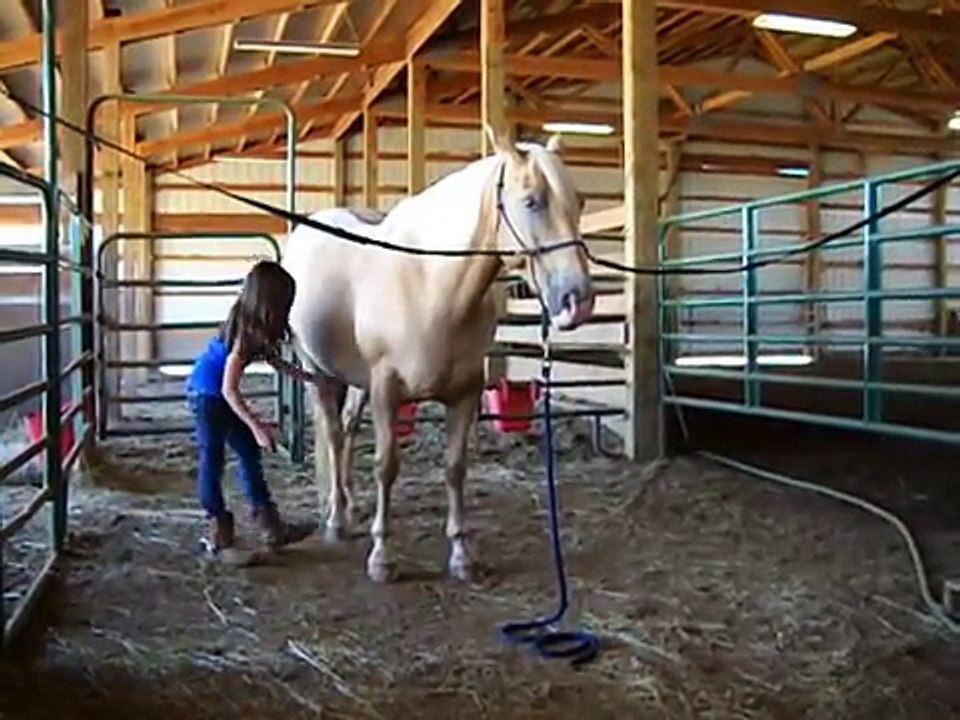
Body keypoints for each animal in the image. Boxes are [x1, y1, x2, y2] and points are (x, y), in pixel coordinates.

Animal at [282, 129, 595, 583]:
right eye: (531, 201)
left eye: (580, 202)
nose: (578, 302)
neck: (429, 284)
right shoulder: (386, 389)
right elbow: (386, 465)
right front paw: (382, 557)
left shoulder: (465, 392)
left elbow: (454, 468)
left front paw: (462, 555)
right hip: (319, 370)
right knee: (334, 434)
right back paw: (337, 519)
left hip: (355, 379)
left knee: (347, 430)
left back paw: (350, 506)